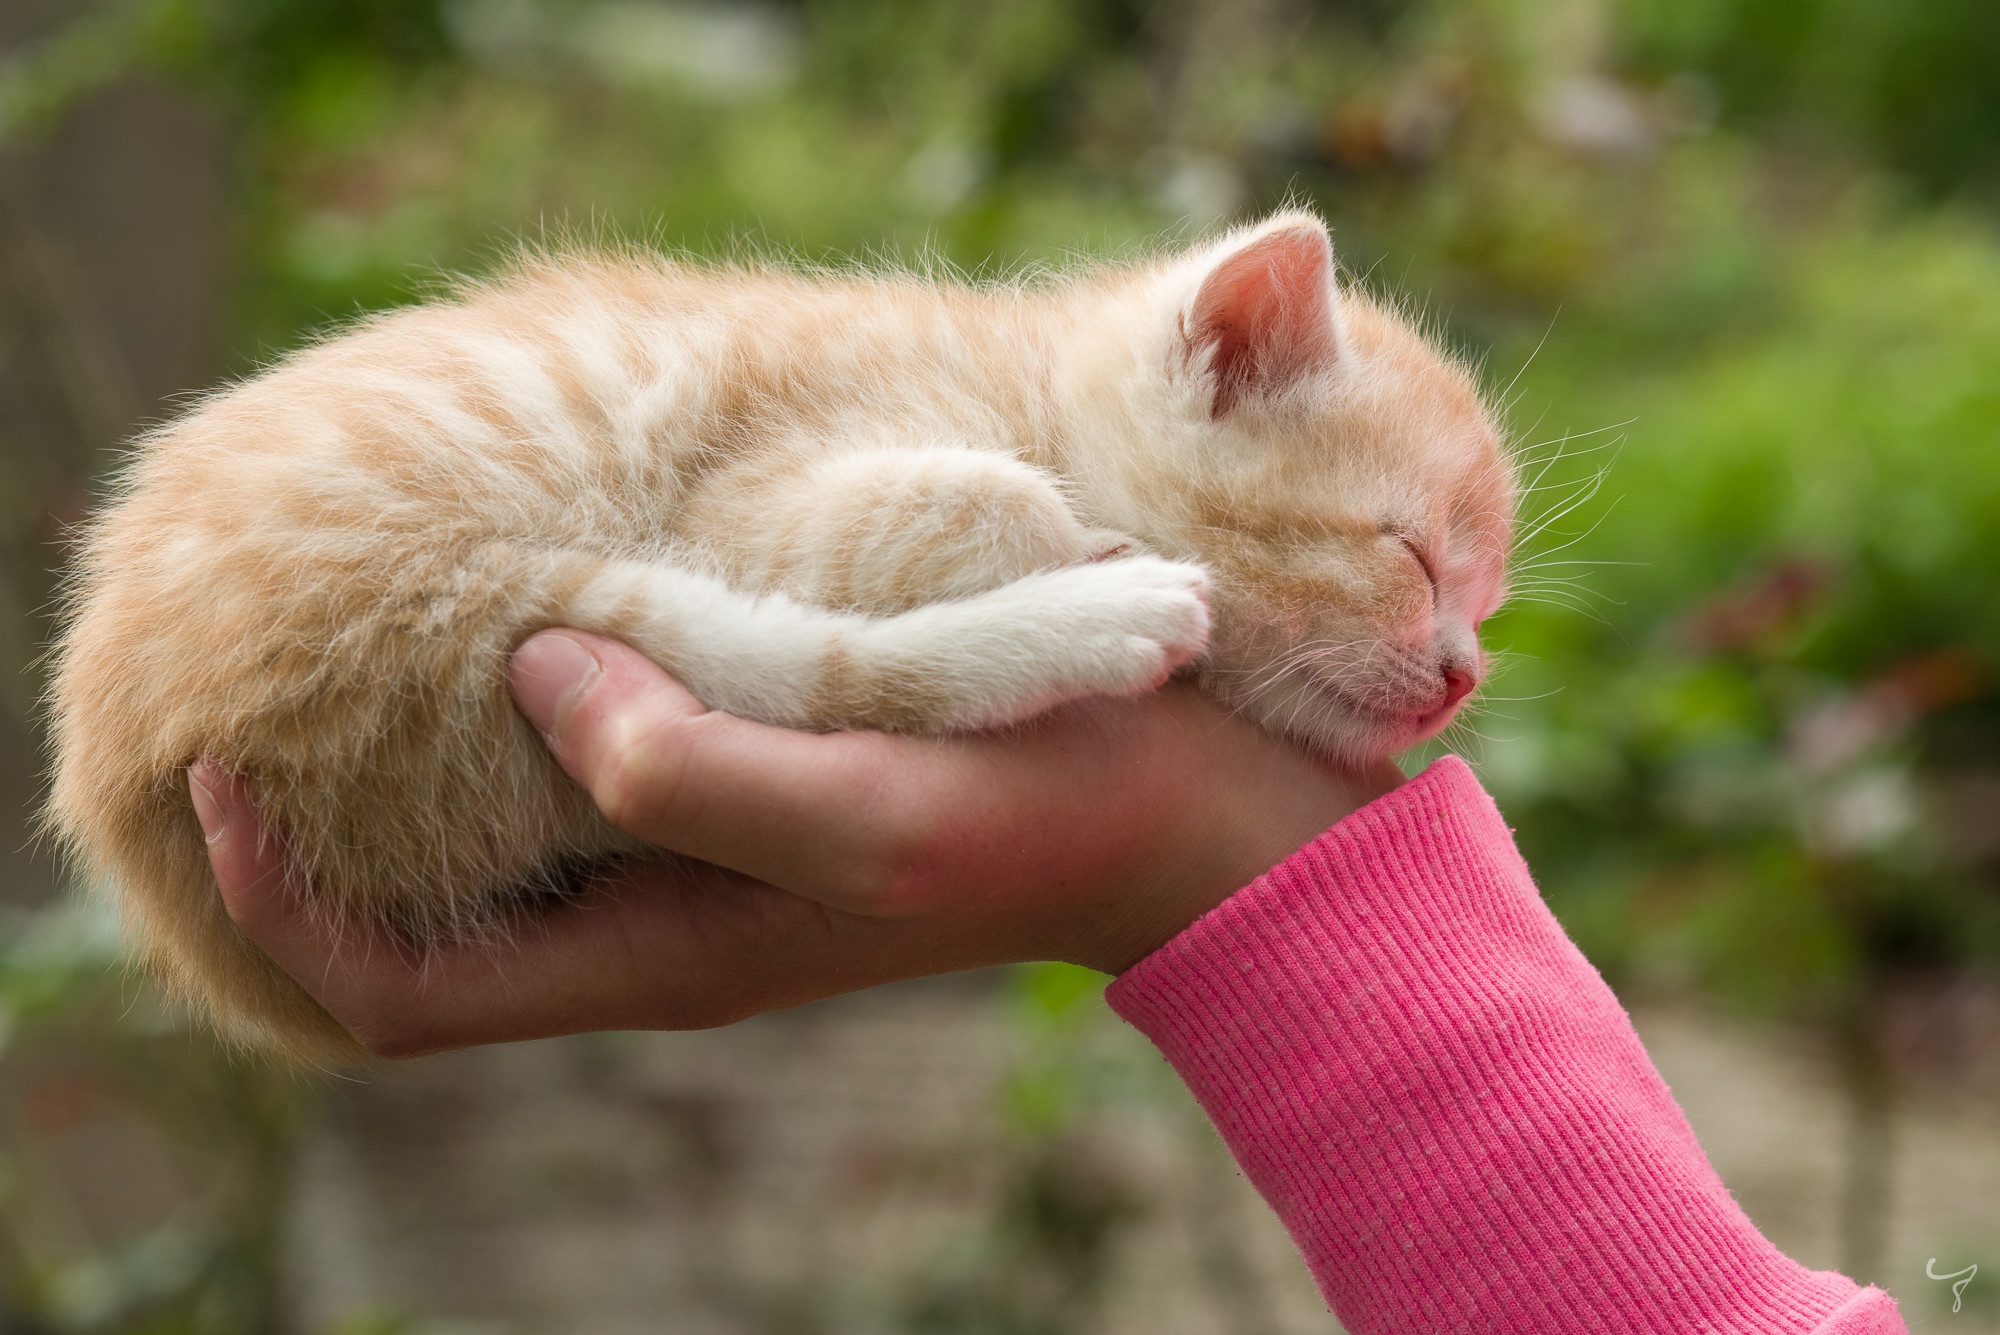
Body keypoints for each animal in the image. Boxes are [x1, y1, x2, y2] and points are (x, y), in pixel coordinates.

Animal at [43, 208, 1512, 1063]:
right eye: (1411, 554)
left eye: (1482, 601)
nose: (1461, 674)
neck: (1021, 380)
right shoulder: (748, 505)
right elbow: (990, 498)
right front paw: (1085, 541)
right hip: (457, 619)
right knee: (825, 672)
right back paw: (1106, 615)